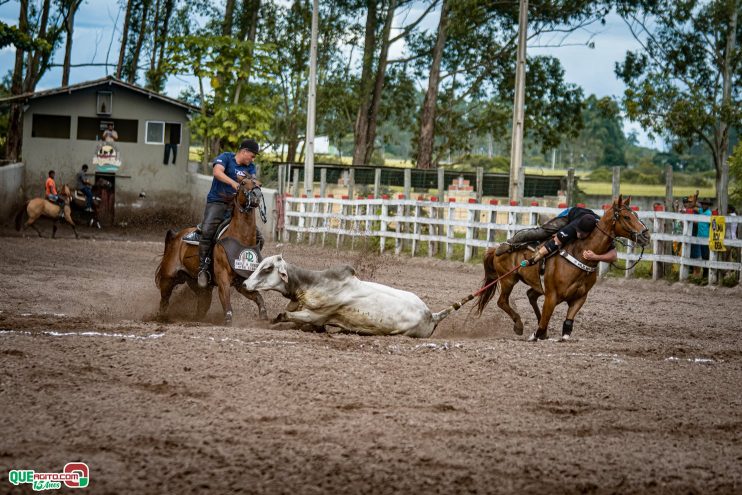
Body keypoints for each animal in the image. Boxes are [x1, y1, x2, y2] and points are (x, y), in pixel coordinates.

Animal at [155, 178, 268, 326]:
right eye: (243, 183)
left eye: (260, 185)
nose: (256, 194)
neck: (240, 238)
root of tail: (176, 236)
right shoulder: (223, 277)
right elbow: (226, 299)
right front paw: (228, 319)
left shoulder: (241, 282)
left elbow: (258, 297)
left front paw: (264, 316)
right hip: (168, 278)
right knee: (164, 301)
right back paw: (161, 318)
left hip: (199, 285)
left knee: (202, 305)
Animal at [247, 256, 450, 338]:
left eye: (267, 268)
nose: (245, 284)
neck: (311, 284)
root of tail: (432, 315)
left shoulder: (316, 316)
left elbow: (284, 315)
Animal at [476, 196, 652, 342]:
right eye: (627, 217)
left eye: (636, 215)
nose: (646, 235)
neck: (579, 253)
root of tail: (494, 249)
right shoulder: (551, 296)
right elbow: (544, 320)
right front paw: (535, 334)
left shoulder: (580, 297)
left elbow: (568, 320)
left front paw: (562, 334)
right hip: (508, 279)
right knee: (502, 301)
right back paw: (519, 325)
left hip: (535, 285)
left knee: (530, 295)